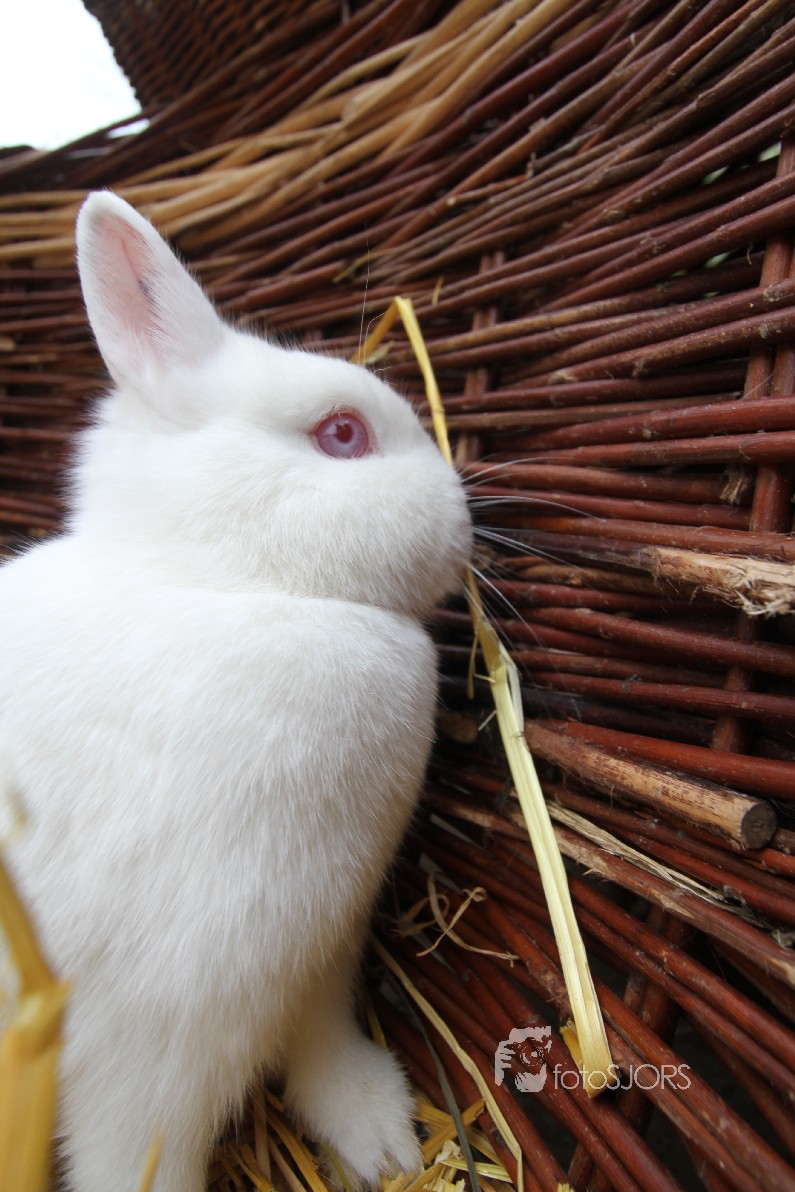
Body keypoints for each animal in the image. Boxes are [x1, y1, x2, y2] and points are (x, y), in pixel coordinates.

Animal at [0, 192, 472, 1192]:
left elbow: (321, 1038)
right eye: (342, 433)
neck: (224, 583)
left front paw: (382, 1138)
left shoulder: (324, 944)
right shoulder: (162, 1026)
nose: (462, 522)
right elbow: (137, 1155)